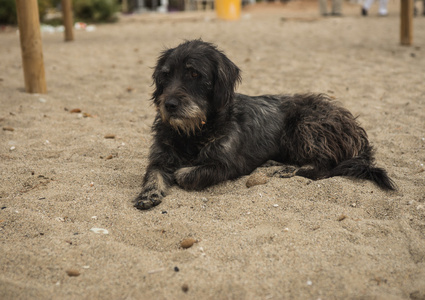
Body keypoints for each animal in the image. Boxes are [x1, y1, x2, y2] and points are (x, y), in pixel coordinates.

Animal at [133, 39, 394, 209]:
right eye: (166, 75)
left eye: (194, 74)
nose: (169, 104)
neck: (193, 132)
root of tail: (355, 130)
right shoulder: (161, 156)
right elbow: (153, 172)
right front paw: (148, 192)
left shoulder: (227, 165)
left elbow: (186, 174)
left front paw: (180, 173)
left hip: (305, 124)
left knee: (325, 166)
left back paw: (291, 169)